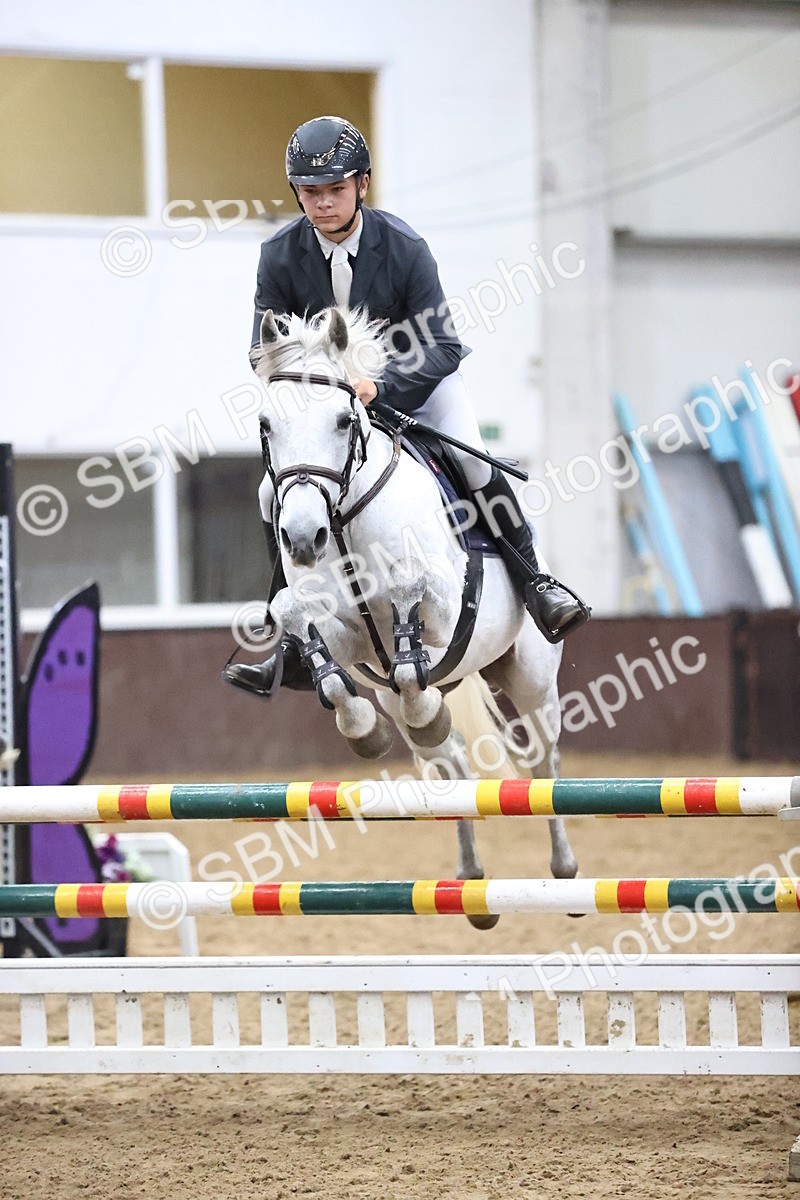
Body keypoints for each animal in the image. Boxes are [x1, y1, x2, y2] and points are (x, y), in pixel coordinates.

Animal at [248, 307, 578, 924]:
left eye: (341, 421)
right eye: (266, 425)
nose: (303, 538)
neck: (343, 516)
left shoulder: (446, 613)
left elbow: (409, 585)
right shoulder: (348, 638)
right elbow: (299, 617)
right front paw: (361, 728)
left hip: (530, 677)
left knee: (543, 764)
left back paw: (565, 873)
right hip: (425, 699)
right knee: (446, 761)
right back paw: (471, 880)